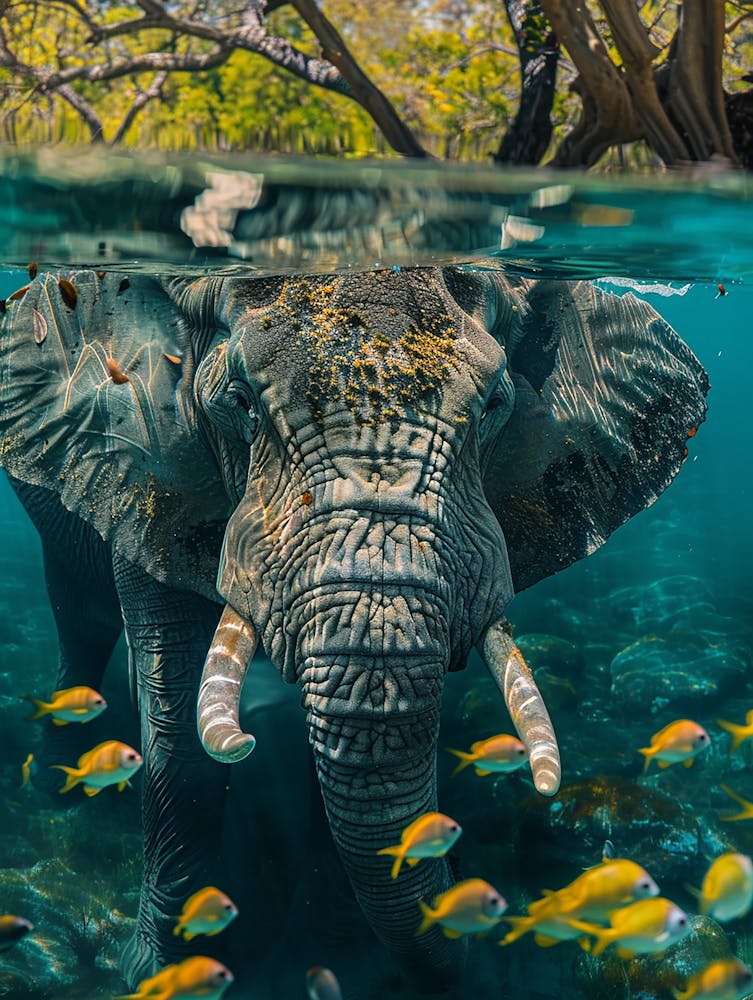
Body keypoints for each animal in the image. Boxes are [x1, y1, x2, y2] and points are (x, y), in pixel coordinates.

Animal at [0, 266, 708, 993]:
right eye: (239, 401)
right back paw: (56, 789)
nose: (484, 930)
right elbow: (174, 721)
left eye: (492, 406)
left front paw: (346, 962)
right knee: (78, 611)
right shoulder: (148, 465)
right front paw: (154, 971)